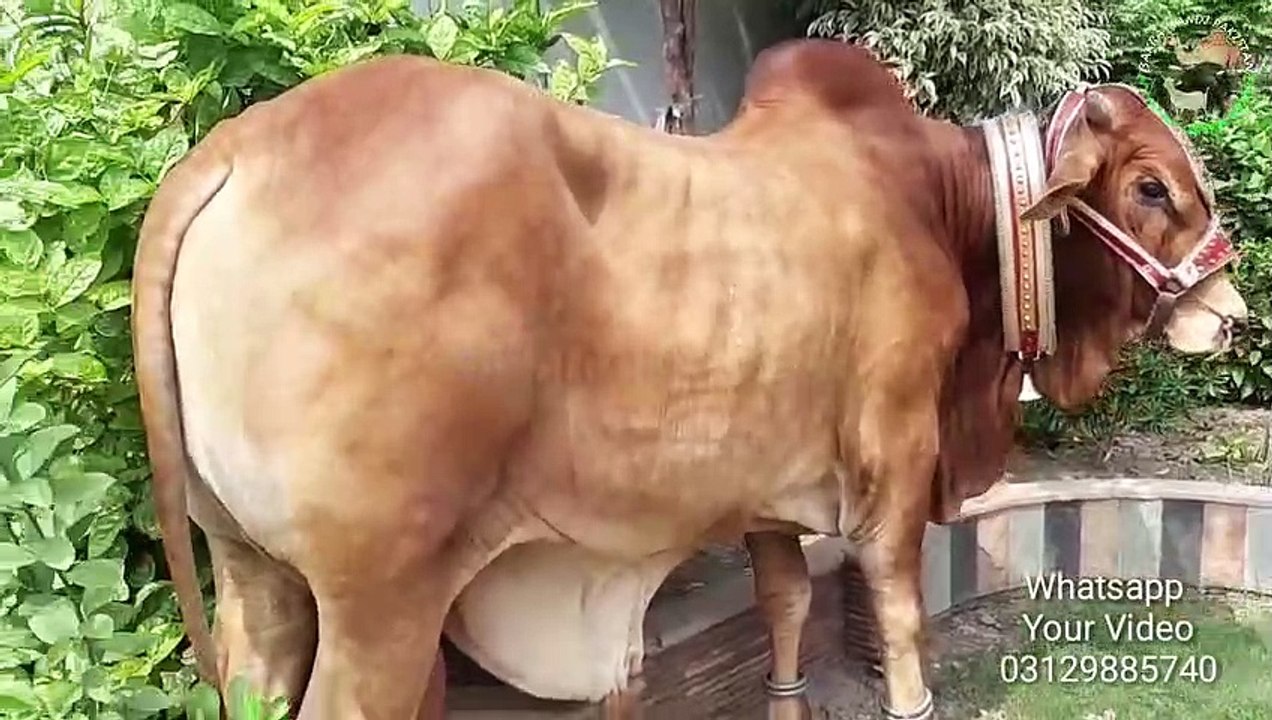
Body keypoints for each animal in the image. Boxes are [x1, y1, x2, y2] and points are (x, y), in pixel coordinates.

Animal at [132, 39, 1247, 720]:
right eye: (1151, 187)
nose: (1231, 314)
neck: (938, 206)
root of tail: (235, 148)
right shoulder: (893, 461)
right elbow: (896, 611)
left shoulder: (767, 490)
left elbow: (786, 603)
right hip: (380, 601)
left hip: (253, 571)